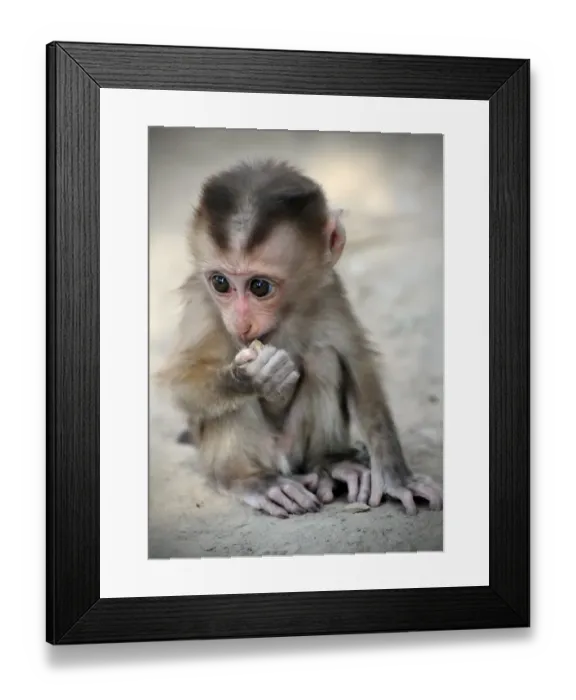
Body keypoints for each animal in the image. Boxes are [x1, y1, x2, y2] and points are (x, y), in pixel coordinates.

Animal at [157, 158, 443, 518]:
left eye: (259, 287)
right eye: (220, 283)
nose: (240, 322)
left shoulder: (328, 291)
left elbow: (359, 367)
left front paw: (397, 478)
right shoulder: (203, 304)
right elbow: (180, 384)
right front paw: (250, 376)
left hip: (296, 451)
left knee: (324, 358)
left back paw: (333, 463)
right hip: (257, 453)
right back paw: (251, 481)